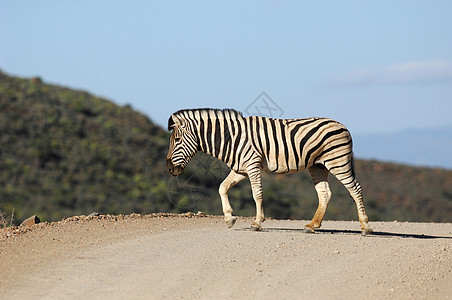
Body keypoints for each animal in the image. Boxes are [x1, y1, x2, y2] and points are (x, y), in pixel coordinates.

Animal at [166, 109, 370, 236]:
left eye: (176, 140)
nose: (169, 169)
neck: (232, 139)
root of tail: (343, 126)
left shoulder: (252, 164)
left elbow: (257, 194)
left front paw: (257, 223)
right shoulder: (240, 169)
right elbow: (222, 187)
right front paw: (229, 218)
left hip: (338, 161)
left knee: (356, 190)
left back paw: (365, 227)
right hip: (318, 166)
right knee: (325, 193)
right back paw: (312, 226)